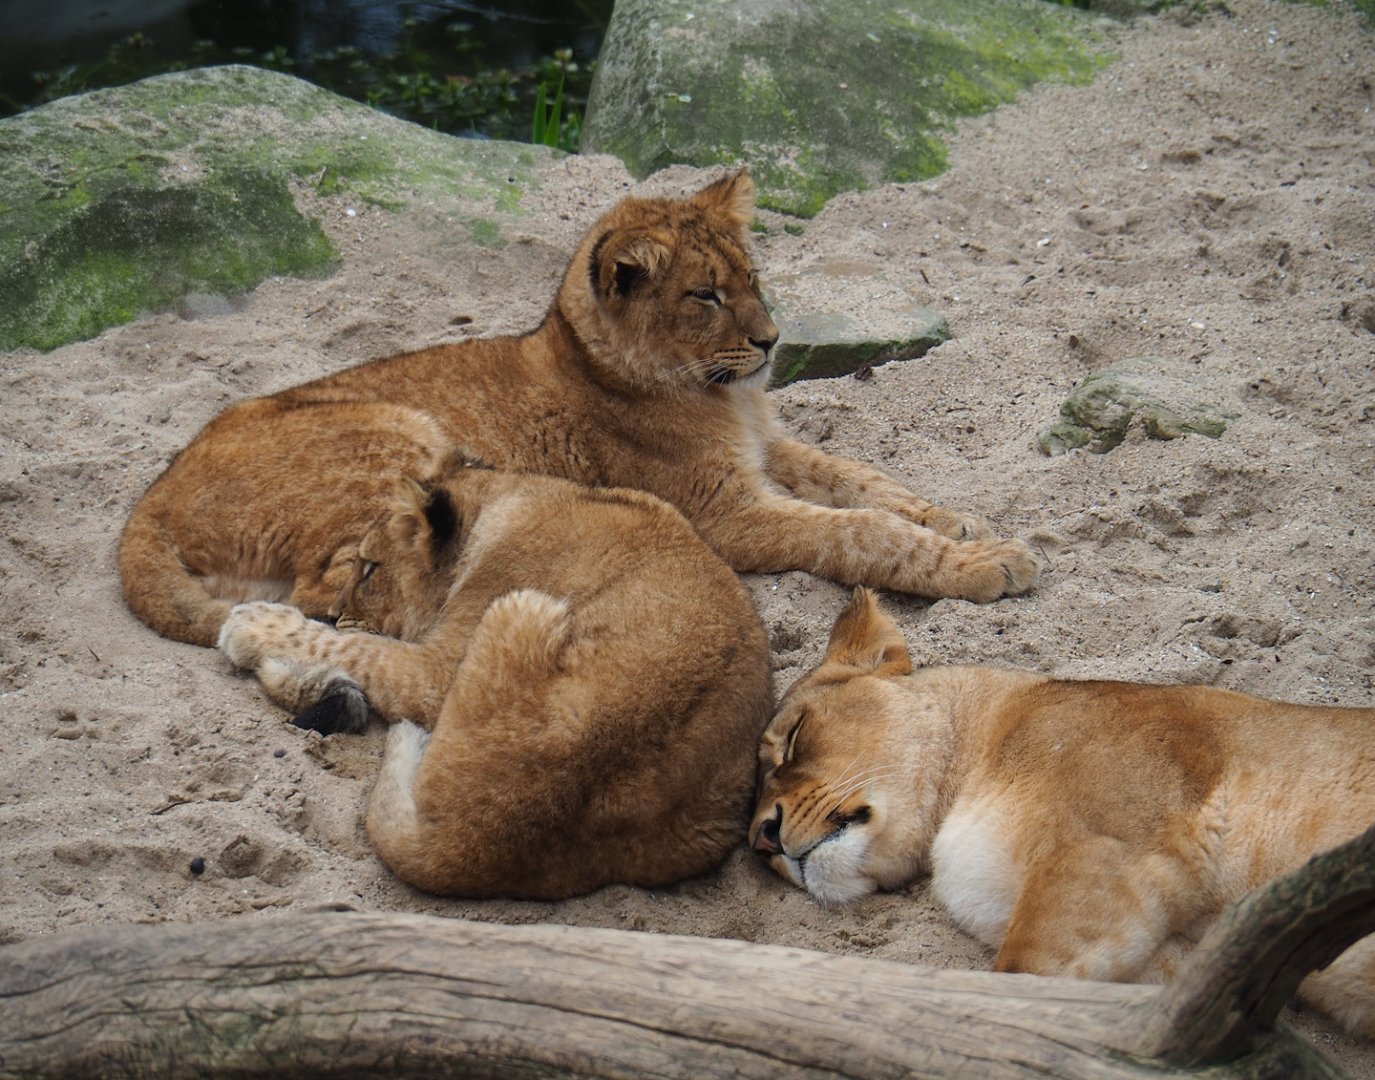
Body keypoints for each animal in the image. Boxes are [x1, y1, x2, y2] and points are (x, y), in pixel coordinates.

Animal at [120, 169, 1039, 647]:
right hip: (402, 432)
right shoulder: (727, 516)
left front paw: (955, 520)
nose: (774, 341)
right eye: (705, 295)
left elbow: (863, 478)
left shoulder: (771, 447)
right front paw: (986, 563)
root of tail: (147, 505)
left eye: (752, 278)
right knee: (332, 592)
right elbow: (857, 532)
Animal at [217, 465, 774, 898]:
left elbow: (355, 648)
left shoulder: (439, 668)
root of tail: (470, 845)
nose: (332, 613)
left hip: (523, 604)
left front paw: (250, 626)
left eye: (370, 569)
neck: (503, 498)